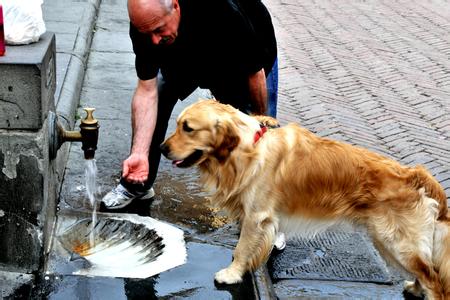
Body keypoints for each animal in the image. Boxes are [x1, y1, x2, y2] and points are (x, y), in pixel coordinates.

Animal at [161, 99, 450, 298]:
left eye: (188, 128)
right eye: (178, 125)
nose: (162, 148)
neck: (248, 148)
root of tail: (416, 174)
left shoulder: (257, 216)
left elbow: (243, 247)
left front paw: (231, 273)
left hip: (396, 242)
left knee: (435, 280)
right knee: (426, 273)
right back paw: (415, 287)